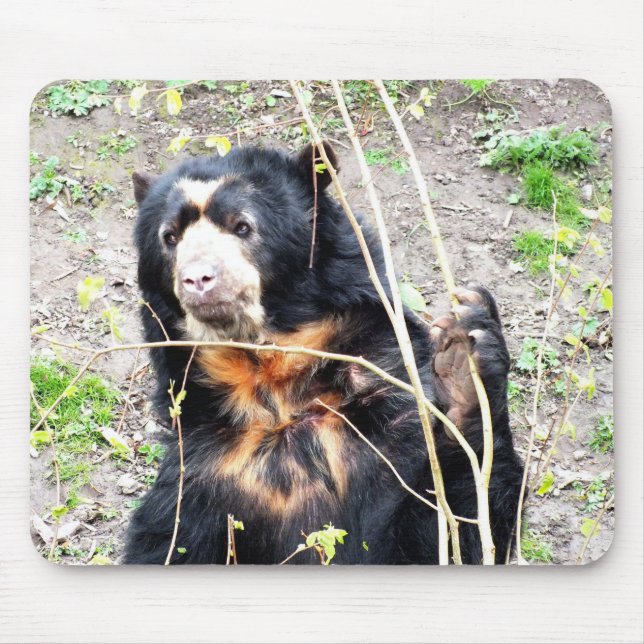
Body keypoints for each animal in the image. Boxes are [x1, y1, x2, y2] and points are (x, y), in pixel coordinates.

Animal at [123, 142, 523, 565]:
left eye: (242, 226)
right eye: (169, 237)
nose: (198, 279)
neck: (272, 382)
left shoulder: (393, 424)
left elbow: (447, 531)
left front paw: (465, 356)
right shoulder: (204, 469)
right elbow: (166, 545)